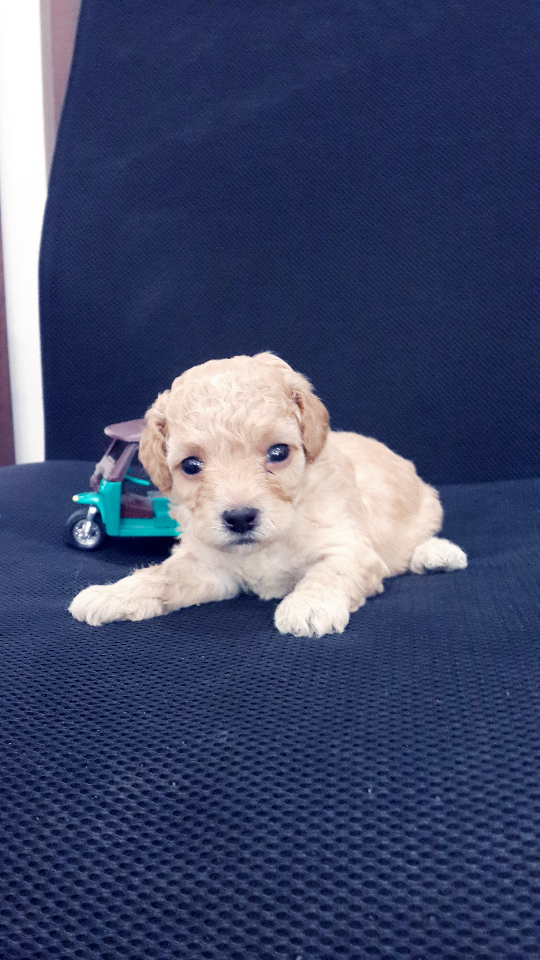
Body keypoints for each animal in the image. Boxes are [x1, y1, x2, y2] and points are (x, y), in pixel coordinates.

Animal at [69, 352, 467, 636]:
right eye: (191, 465)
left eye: (278, 452)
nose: (240, 518)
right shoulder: (209, 568)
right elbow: (163, 576)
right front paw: (112, 594)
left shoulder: (351, 549)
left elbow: (330, 572)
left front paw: (308, 605)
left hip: (428, 506)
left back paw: (437, 554)